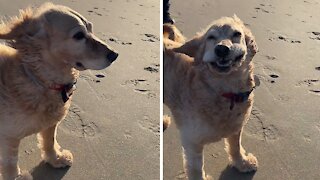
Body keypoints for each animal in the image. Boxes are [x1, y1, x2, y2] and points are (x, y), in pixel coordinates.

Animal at [0, 3, 117, 180]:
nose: (114, 54)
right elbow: (10, 164)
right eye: (78, 35)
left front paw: (56, 159)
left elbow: (50, 141)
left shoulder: (51, 123)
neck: (39, 80)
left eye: (91, 28)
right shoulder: (8, 136)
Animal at [164, 15, 258, 180]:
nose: (221, 49)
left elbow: (236, 147)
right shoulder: (191, 140)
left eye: (237, 34)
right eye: (211, 37)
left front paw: (242, 163)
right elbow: (196, 169)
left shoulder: (236, 127)